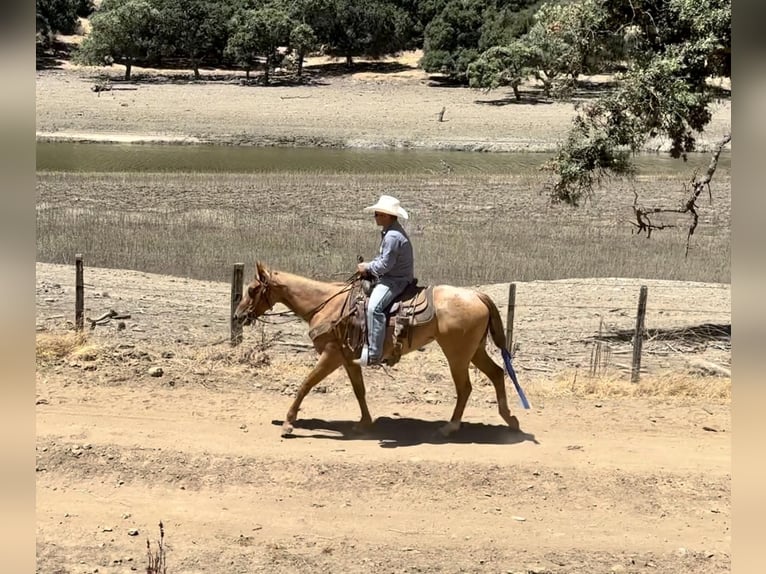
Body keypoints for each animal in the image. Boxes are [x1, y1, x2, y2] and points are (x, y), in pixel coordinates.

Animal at [231, 264, 524, 438]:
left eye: (252, 289)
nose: (238, 315)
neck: (325, 304)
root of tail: (477, 295)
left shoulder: (331, 355)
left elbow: (305, 384)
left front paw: (289, 423)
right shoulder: (348, 358)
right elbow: (359, 390)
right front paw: (364, 422)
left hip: (457, 355)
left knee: (465, 387)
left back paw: (451, 426)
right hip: (474, 351)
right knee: (497, 374)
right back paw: (509, 419)